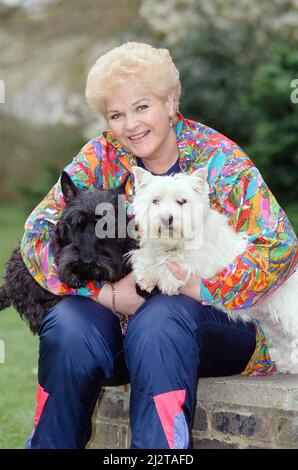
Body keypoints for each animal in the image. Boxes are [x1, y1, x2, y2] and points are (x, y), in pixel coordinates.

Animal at [130, 166, 298, 374]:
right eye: (155, 201)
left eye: (182, 201)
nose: (166, 219)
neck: (176, 241)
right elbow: (146, 254)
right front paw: (145, 275)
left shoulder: (207, 263)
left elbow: (179, 261)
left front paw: (168, 279)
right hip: (273, 325)